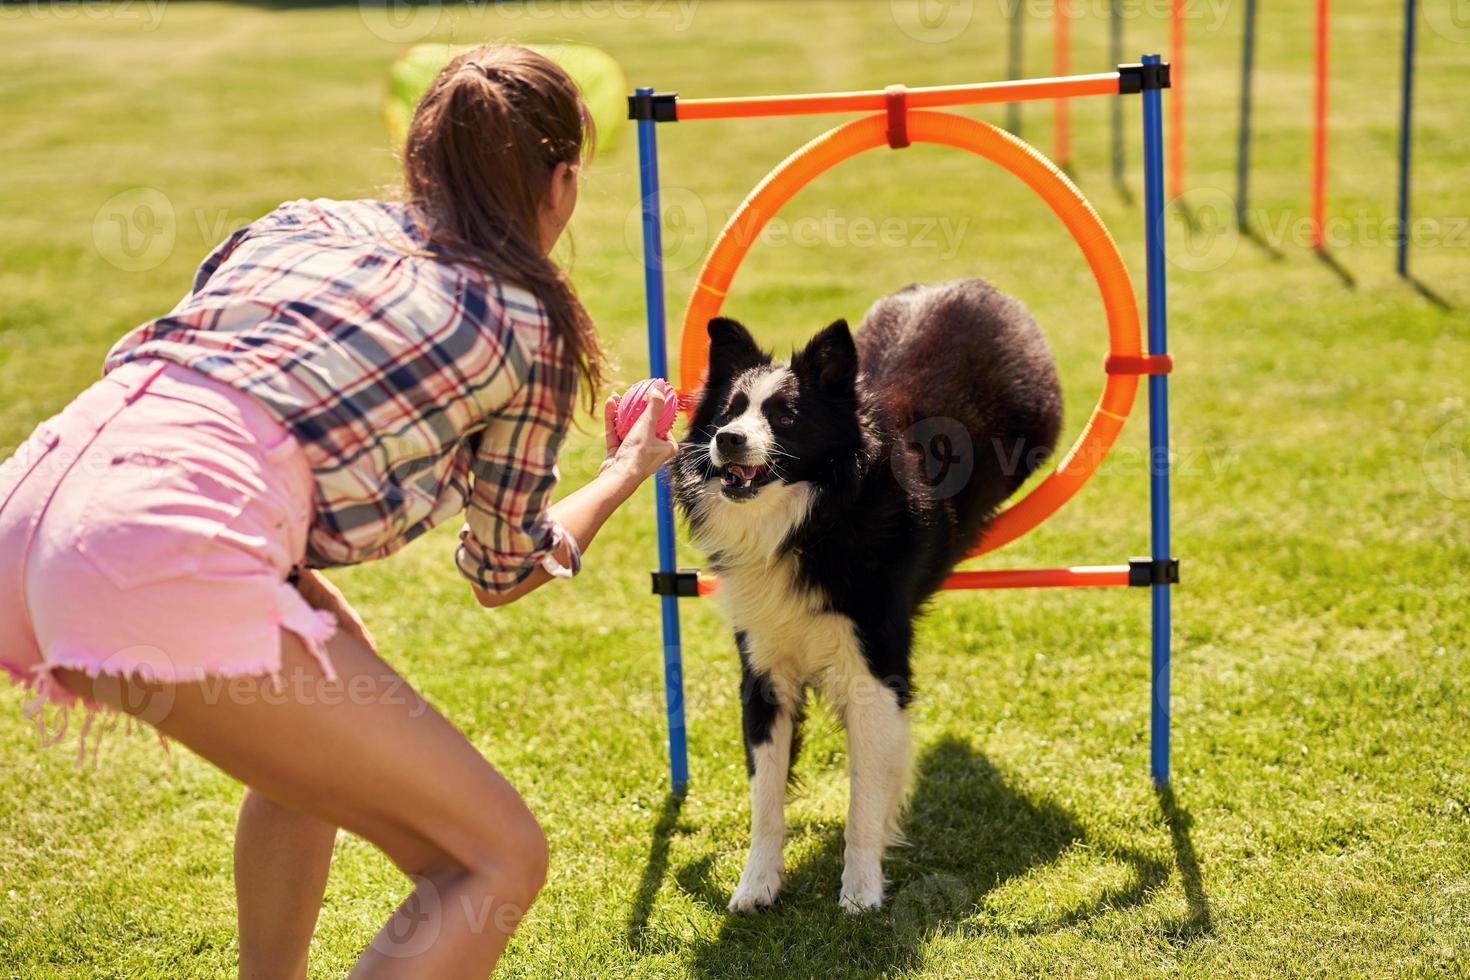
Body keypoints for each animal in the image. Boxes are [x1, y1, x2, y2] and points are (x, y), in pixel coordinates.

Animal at [673, 276, 1064, 910]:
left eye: (785, 416)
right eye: (730, 411)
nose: (728, 440)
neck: (809, 517)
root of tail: (968, 284)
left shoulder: (875, 672)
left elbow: (864, 798)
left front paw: (859, 893)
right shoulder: (764, 670)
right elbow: (765, 797)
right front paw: (757, 886)